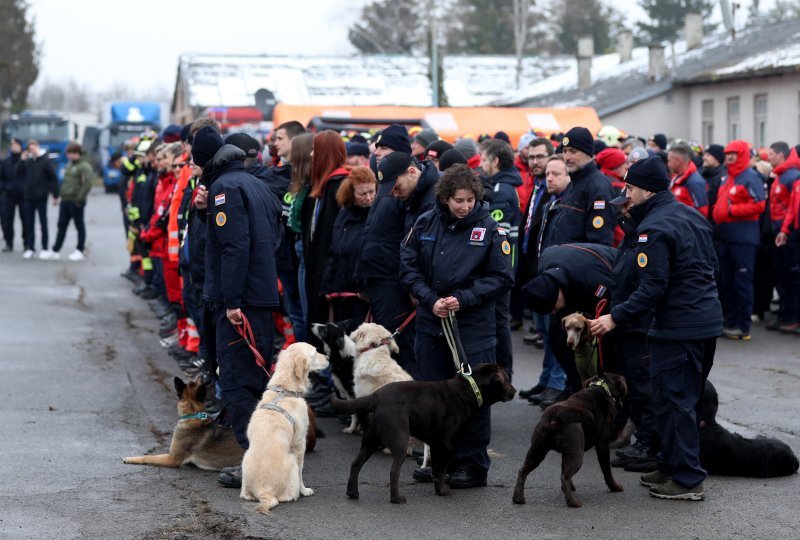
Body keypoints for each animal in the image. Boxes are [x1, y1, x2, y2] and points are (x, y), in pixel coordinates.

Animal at [239, 344, 326, 512]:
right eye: (315, 353)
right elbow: (301, 472)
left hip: (245, 459)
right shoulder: (300, 443)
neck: (284, 390)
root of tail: (264, 491)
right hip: (291, 460)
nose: (328, 358)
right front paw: (305, 490)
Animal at [330, 364, 512, 504]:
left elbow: (437, 470)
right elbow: (441, 469)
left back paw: (352, 493)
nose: (514, 390)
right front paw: (442, 490)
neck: (469, 389)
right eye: (507, 379)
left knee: (355, 464)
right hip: (400, 441)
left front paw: (438, 486)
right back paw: (397, 499)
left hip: (370, 441)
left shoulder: (436, 445)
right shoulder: (447, 445)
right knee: (393, 471)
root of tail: (375, 397)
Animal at [512, 374, 632, 508]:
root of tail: (555, 415)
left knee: (523, 471)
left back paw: (518, 498)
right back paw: (573, 502)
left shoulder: (565, 453)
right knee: (565, 477)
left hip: (537, 450)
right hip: (576, 453)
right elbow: (607, 471)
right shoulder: (602, 445)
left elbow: (563, 468)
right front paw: (615, 487)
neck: (600, 387)